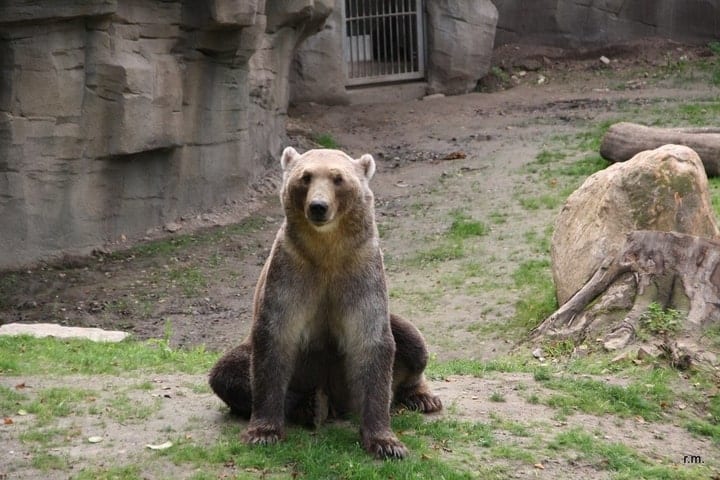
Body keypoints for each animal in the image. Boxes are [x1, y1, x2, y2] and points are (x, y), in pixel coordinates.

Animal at [209, 146, 442, 459]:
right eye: (305, 177)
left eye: (338, 178)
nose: (318, 206)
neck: (327, 251)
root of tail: (338, 402)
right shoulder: (291, 272)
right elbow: (273, 342)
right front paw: (263, 432)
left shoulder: (359, 271)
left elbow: (372, 343)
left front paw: (387, 443)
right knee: (227, 372)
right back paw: (312, 405)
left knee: (413, 342)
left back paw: (422, 397)